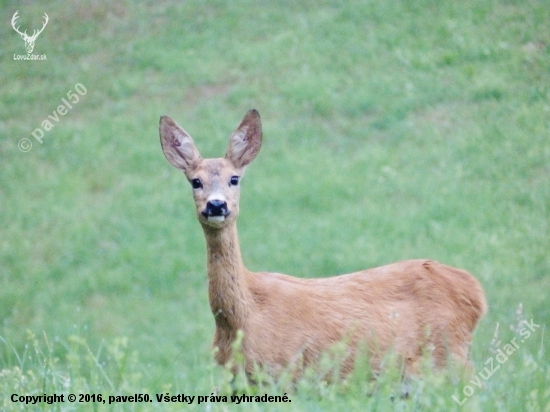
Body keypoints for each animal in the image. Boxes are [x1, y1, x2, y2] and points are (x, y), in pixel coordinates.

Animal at [158, 108, 488, 380]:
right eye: (195, 181)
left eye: (234, 178)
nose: (216, 205)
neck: (243, 318)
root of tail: (475, 291)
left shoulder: (286, 371)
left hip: (449, 359)